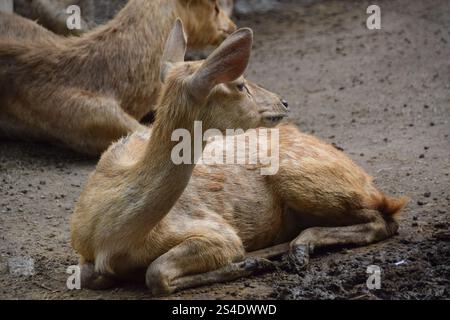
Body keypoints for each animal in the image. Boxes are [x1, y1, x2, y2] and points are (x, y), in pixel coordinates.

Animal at [70, 20, 408, 298]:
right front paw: (252, 263)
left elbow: (157, 273)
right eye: (240, 84)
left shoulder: (219, 233)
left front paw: (249, 263)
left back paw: (293, 250)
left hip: (304, 180)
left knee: (384, 219)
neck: (114, 235)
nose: (284, 102)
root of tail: (367, 180)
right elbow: (94, 276)